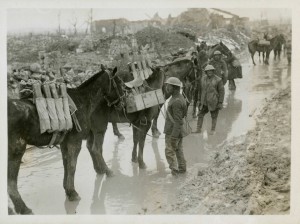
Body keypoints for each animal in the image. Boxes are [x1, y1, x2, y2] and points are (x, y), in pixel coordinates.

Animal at [7, 66, 124, 214]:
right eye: (118, 82)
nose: (122, 100)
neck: (83, 101)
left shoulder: (65, 143)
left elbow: (66, 163)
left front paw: (67, 188)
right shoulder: (75, 141)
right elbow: (72, 165)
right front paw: (72, 193)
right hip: (16, 151)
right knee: (11, 183)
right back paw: (23, 208)